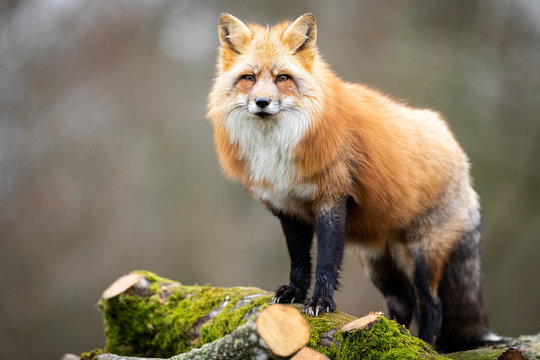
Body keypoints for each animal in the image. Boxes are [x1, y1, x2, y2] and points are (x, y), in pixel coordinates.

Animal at [206, 14, 498, 352]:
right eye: (249, 78)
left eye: (282, 78)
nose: (262, 102)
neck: (276, 147)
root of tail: (457, 150)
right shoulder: (288, 208)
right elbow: (299, 261)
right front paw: (295, 293)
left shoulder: (332, 200)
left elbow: (326, 262)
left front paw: (321, 302)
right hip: (380, 266)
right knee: (404, 305)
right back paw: (393, 334)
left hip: (422, 258)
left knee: (432, 305)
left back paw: (423, 345)